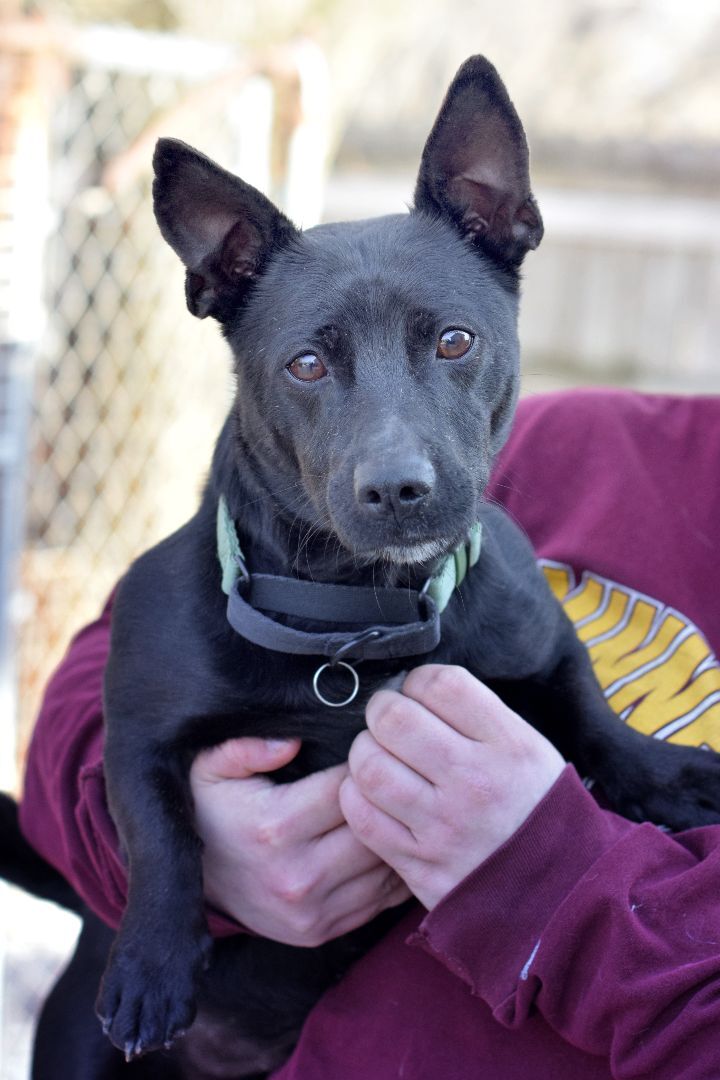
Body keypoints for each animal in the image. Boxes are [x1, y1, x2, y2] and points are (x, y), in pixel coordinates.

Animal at [8, 56, 720, 1080]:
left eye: (455, 341)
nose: (398, 489)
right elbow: (159, 835)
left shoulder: (545, 645)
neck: (353, 616)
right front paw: (150, 964)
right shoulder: (134, 729)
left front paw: (665, 775)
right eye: (307, 364)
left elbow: (591, 715)